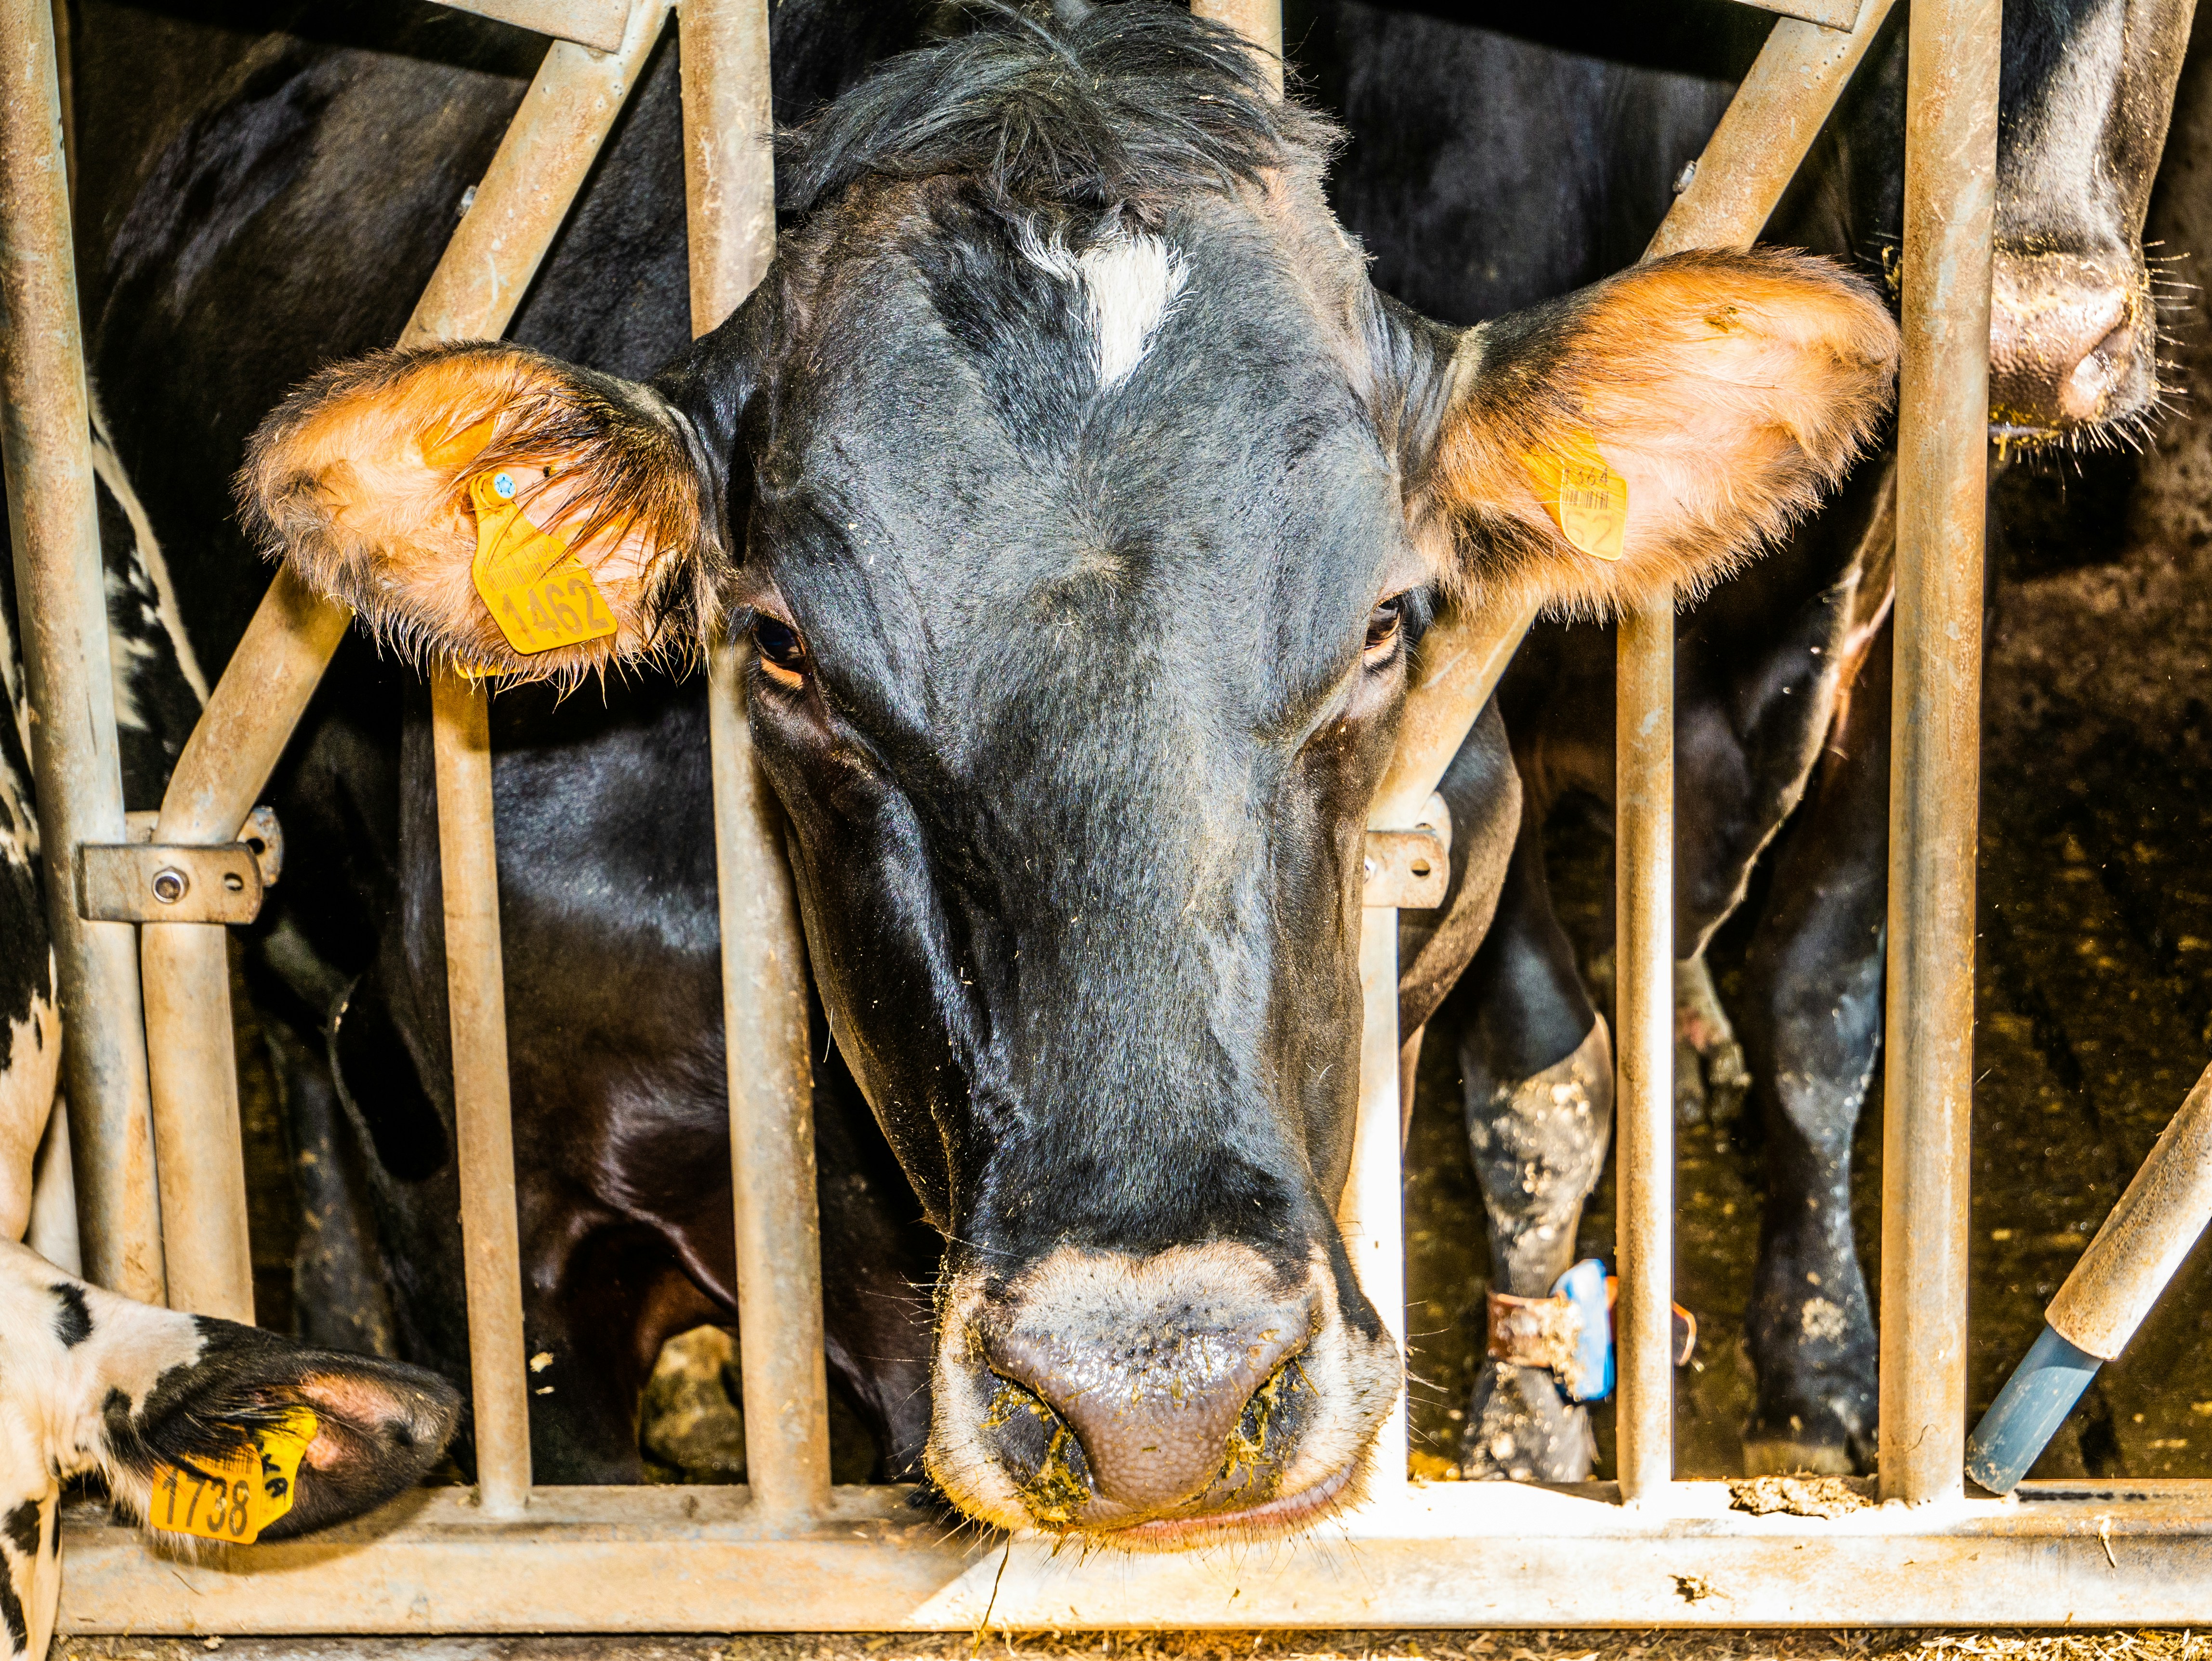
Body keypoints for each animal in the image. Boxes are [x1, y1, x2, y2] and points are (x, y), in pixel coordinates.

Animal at [1307, 0, 2193, 1480]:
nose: (2026, 341)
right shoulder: (1472, 690)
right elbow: (1547, 1069)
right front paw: (1528, 1416)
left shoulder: (1894, 640)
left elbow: (1822, 1009)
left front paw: (1823, 1361)